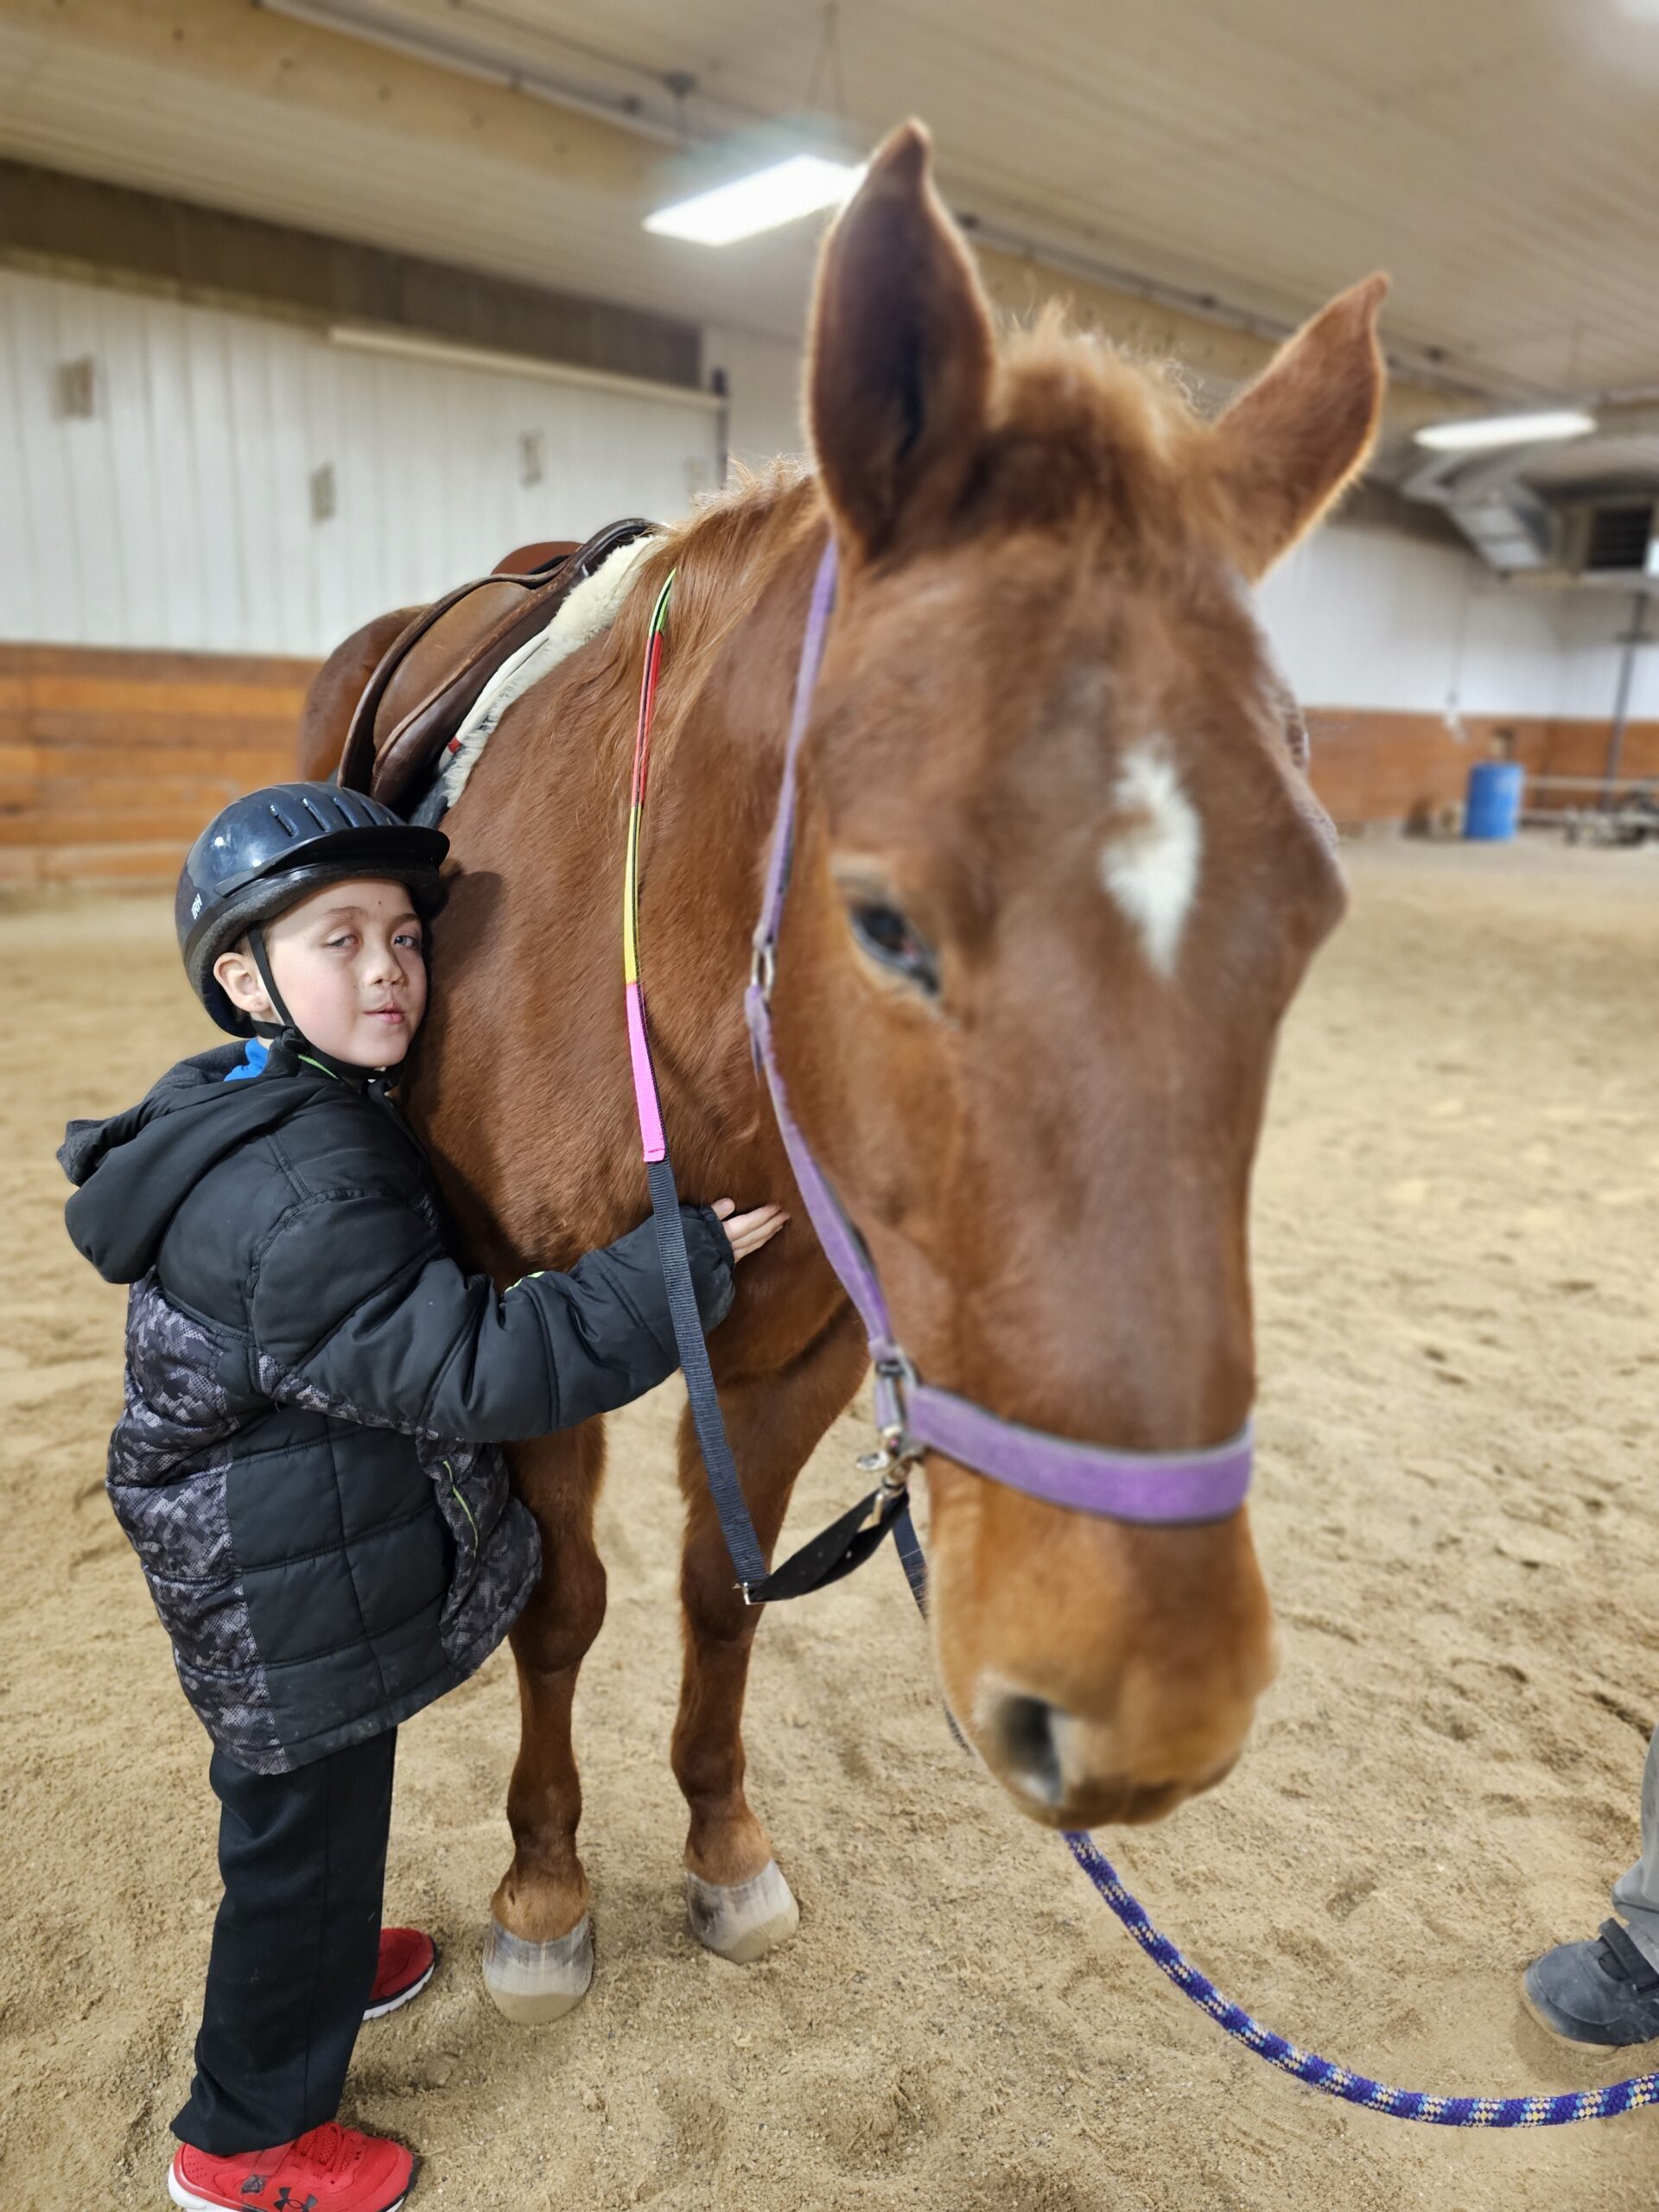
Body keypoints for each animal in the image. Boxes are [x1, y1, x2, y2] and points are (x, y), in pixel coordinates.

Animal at [297, 121, 1384, 2020]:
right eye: (883, 920)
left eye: (1309, 913)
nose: (1151, 1698)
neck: (673, 1005)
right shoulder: (520, 1326)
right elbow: (563, 1602)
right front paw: (542, 1883)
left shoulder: (797, 1343)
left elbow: (723, 1591)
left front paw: (723, 1850)